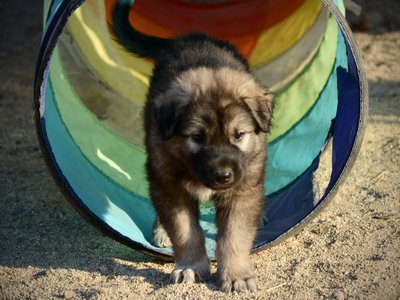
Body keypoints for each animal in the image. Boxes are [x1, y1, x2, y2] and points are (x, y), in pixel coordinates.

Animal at [112, 2, 276, 292]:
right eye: (197, 137)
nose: (223, 176)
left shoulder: (241, 191)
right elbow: (185, 231)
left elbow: (234, 236)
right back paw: (161, 230)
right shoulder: (170, 184)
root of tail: (191, 37)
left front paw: (236, 274)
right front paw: (190, 266)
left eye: (238, 135)